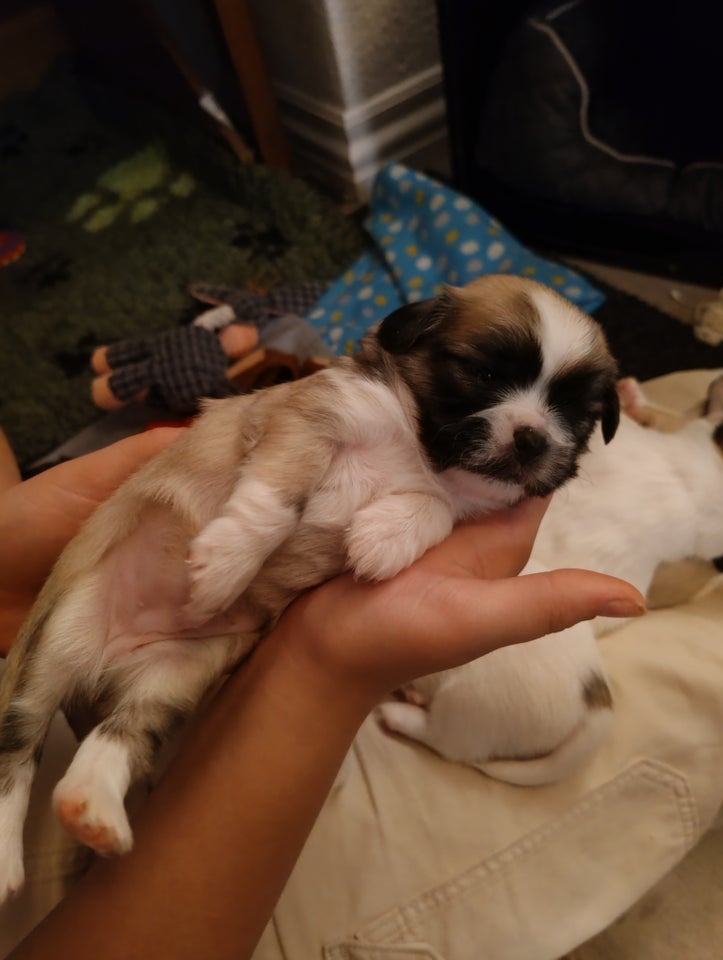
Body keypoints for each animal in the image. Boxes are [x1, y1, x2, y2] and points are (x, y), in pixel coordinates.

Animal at [0, 272, 624, 900]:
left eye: (575, 412)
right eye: (487, 373)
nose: (533, 439)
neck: (421, 452)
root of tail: (111, 656)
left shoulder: (454, 501)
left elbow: (438, 510)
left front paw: (382, 537)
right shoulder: (308, 420)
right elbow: (278, 499)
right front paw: (224, 565)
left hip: (174, 676)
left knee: (120, 734)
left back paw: (93, 809)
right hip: (56, 638)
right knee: (18, 745)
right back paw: (6, 858)